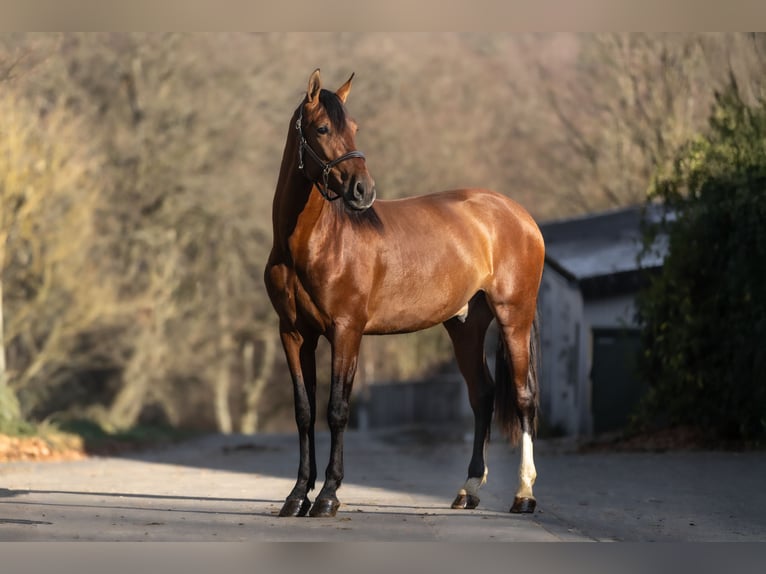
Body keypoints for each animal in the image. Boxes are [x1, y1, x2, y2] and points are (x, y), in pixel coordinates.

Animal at [264, 69, 545, 518]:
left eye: (355, 127)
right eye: (322, 128)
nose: (363, 190)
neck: (312, 243)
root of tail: (518, 214)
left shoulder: (346, 331)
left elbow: (337, 410)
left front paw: (327, 496)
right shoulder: (293, 334)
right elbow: (305, 412)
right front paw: (296, 496)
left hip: (513, 317)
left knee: (523, 398)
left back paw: (524, 494)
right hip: (466, 326)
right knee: (482, 396)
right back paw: (468, 490)